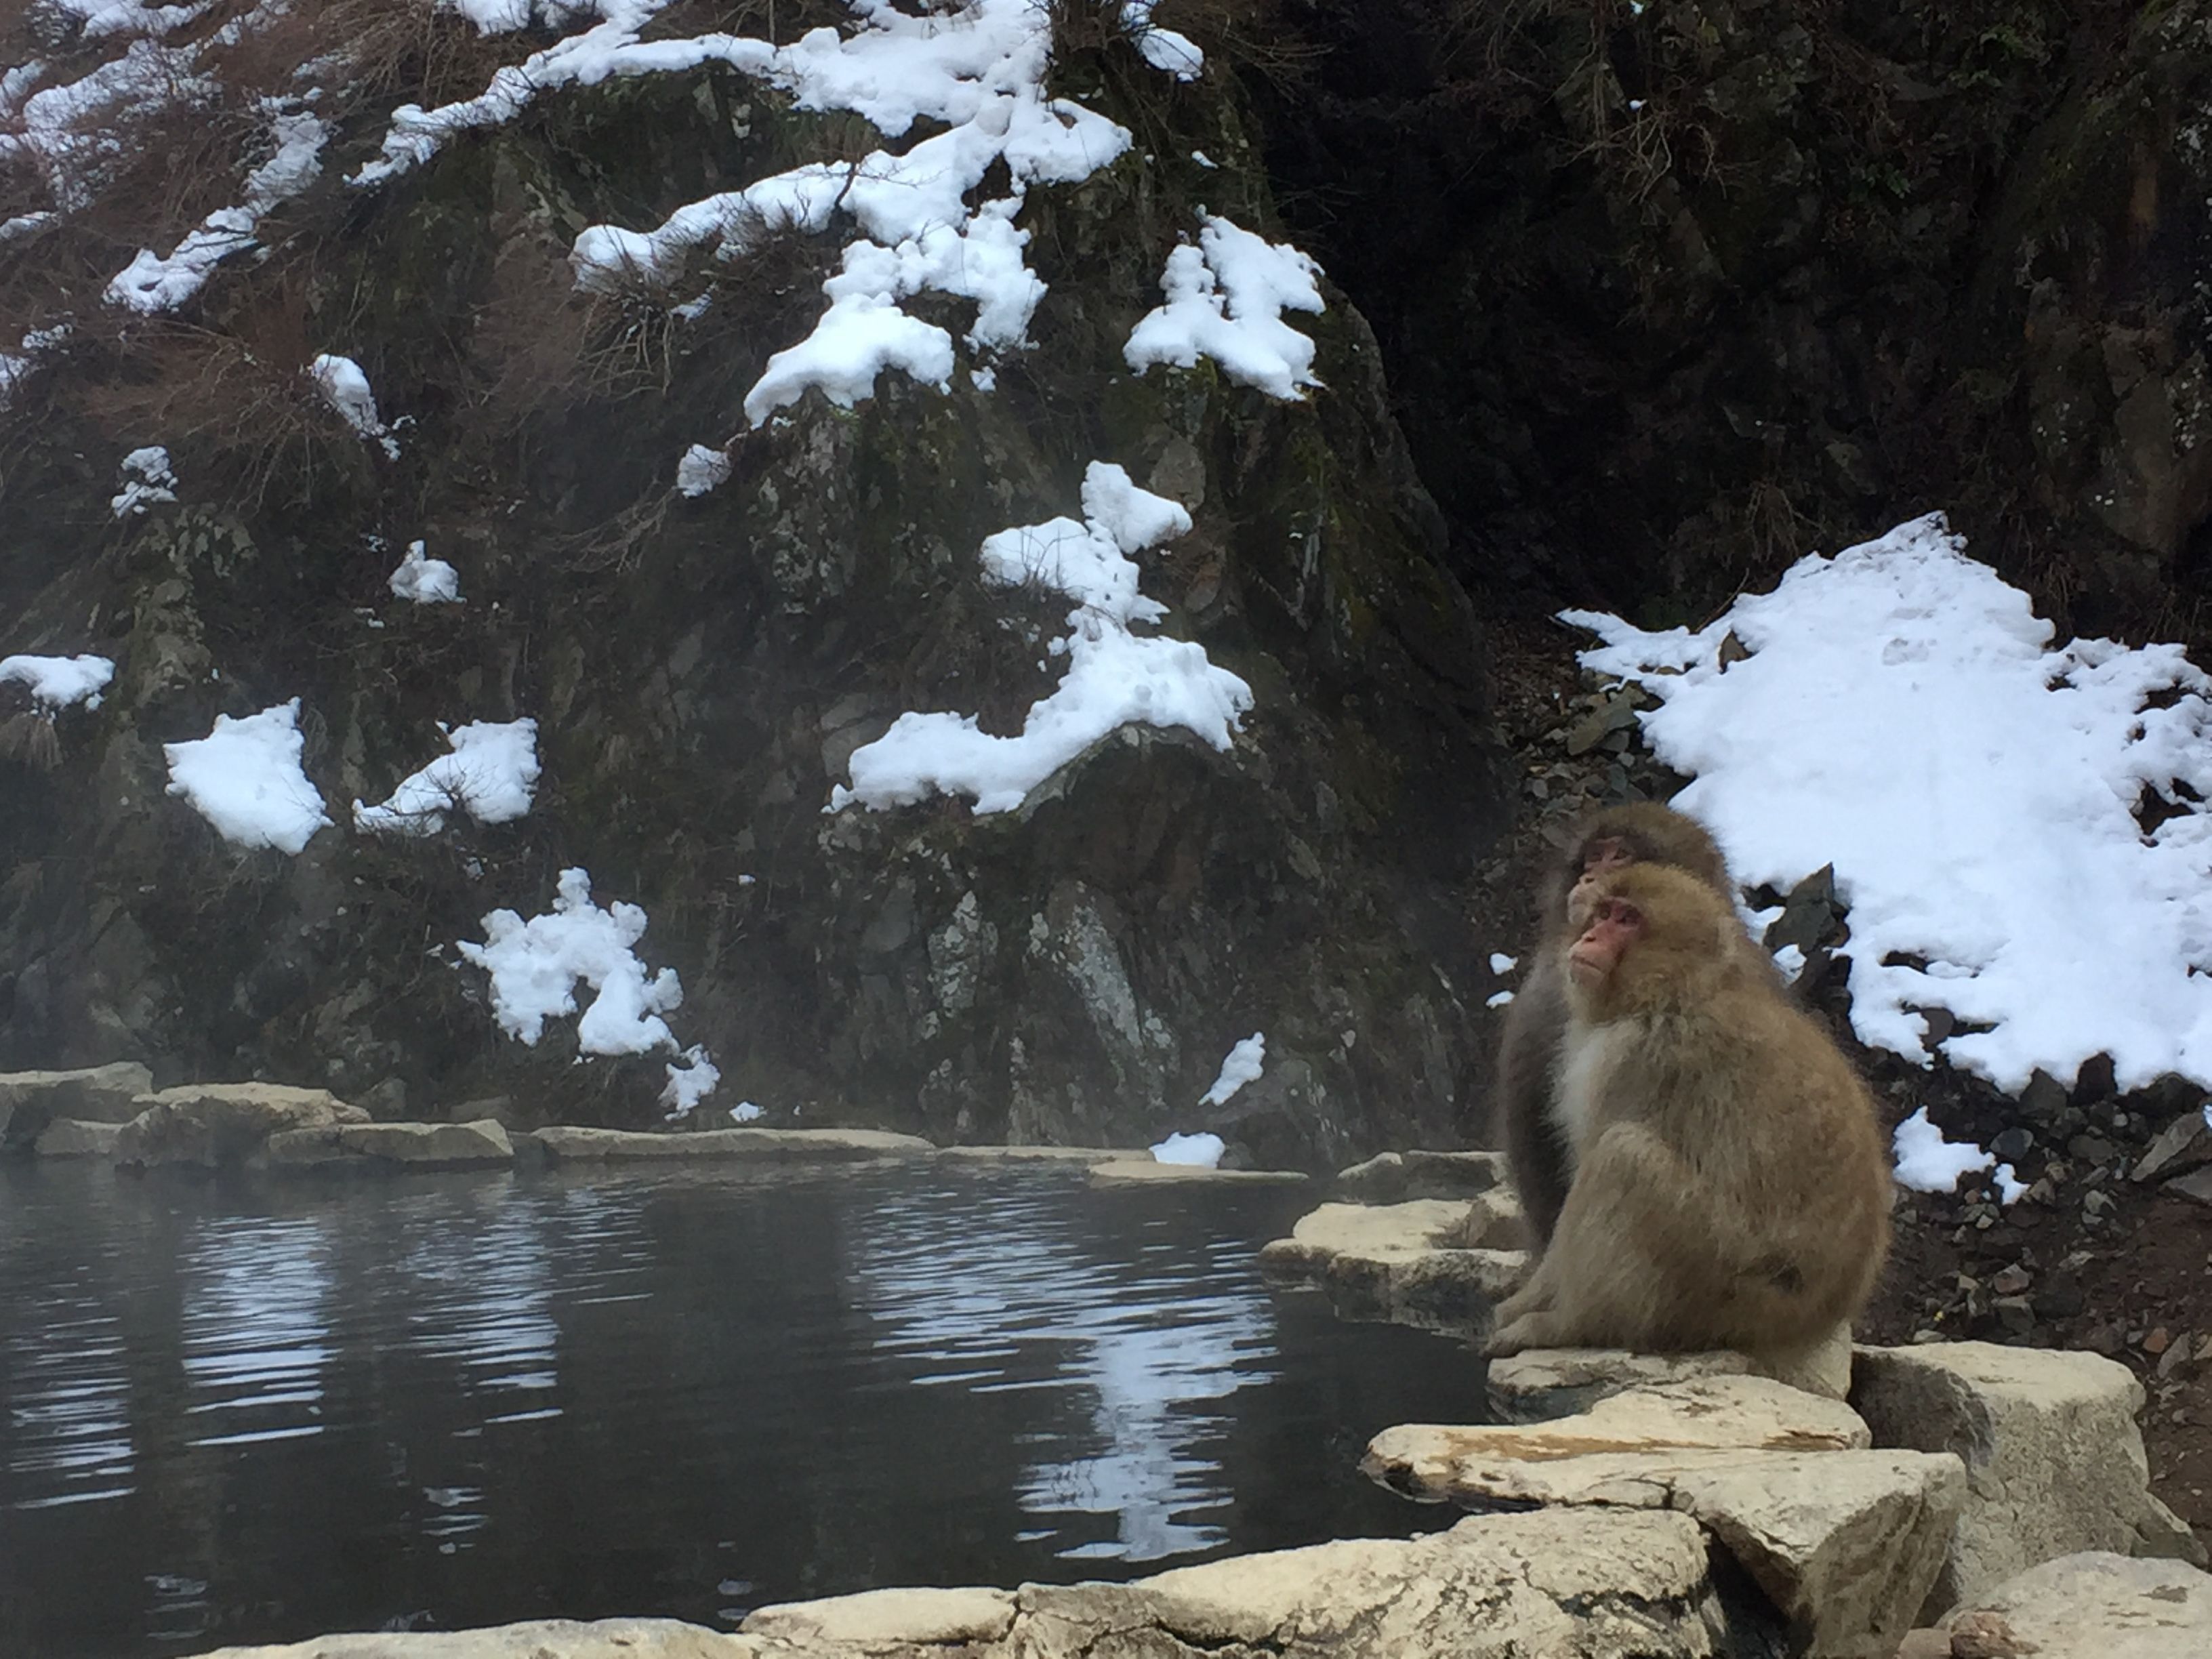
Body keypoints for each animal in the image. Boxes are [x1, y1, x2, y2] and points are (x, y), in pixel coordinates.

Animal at [1483, 862, 1891, 1361]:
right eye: (1603, 913)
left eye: (1627, 919)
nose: (1590, 937)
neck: (1671, 992)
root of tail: (1807, 1321)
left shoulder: (1632, 1061)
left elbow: (1594, 1160)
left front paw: (1539, 1307)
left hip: (1715, 1278)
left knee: (1622, 1157)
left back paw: (1571, 1325)